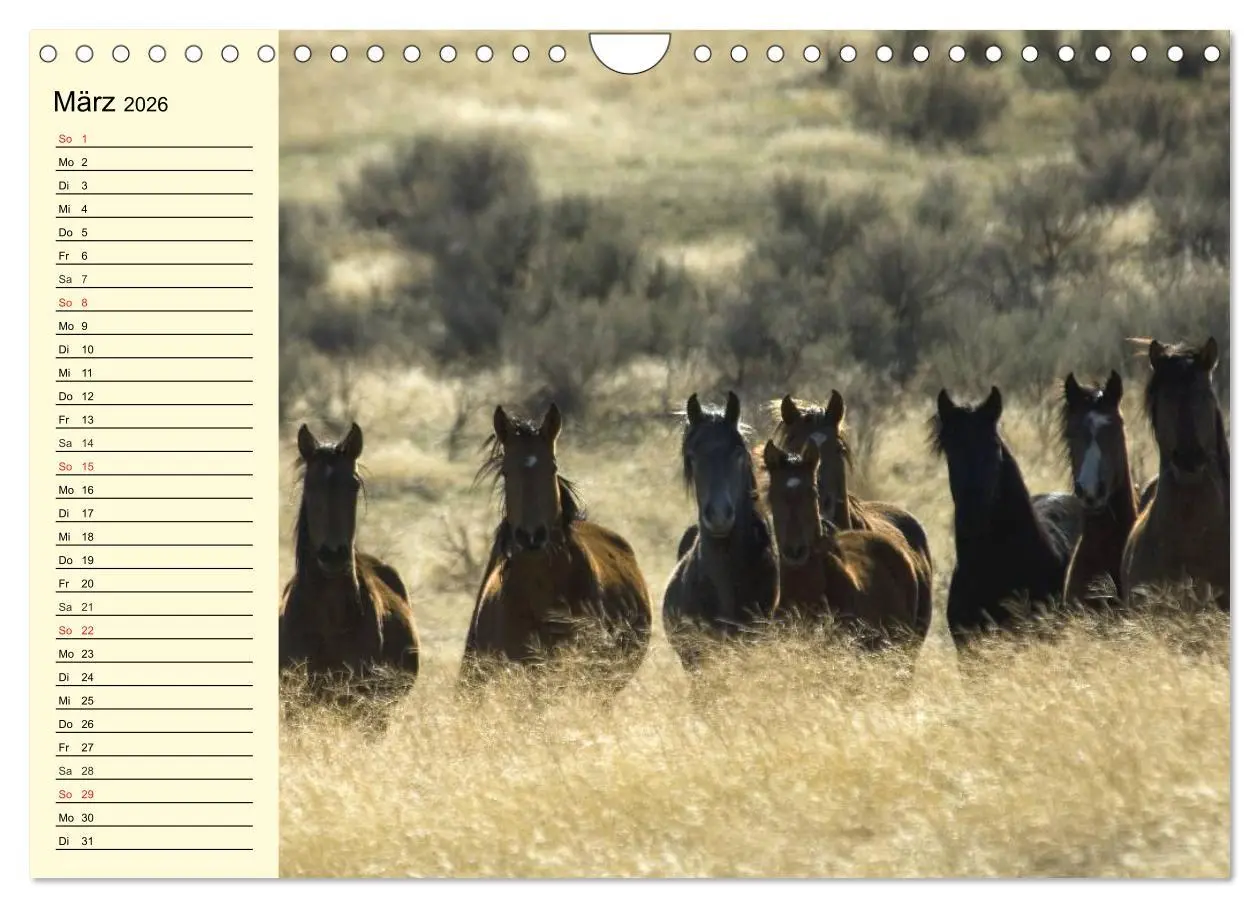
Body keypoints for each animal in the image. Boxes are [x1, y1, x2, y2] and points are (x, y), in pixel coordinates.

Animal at [278, 422, 420, 730]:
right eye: (311, 485)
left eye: (353, 485)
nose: (333, 555)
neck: (329, 621)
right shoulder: (293, 706)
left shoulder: (362, 705)